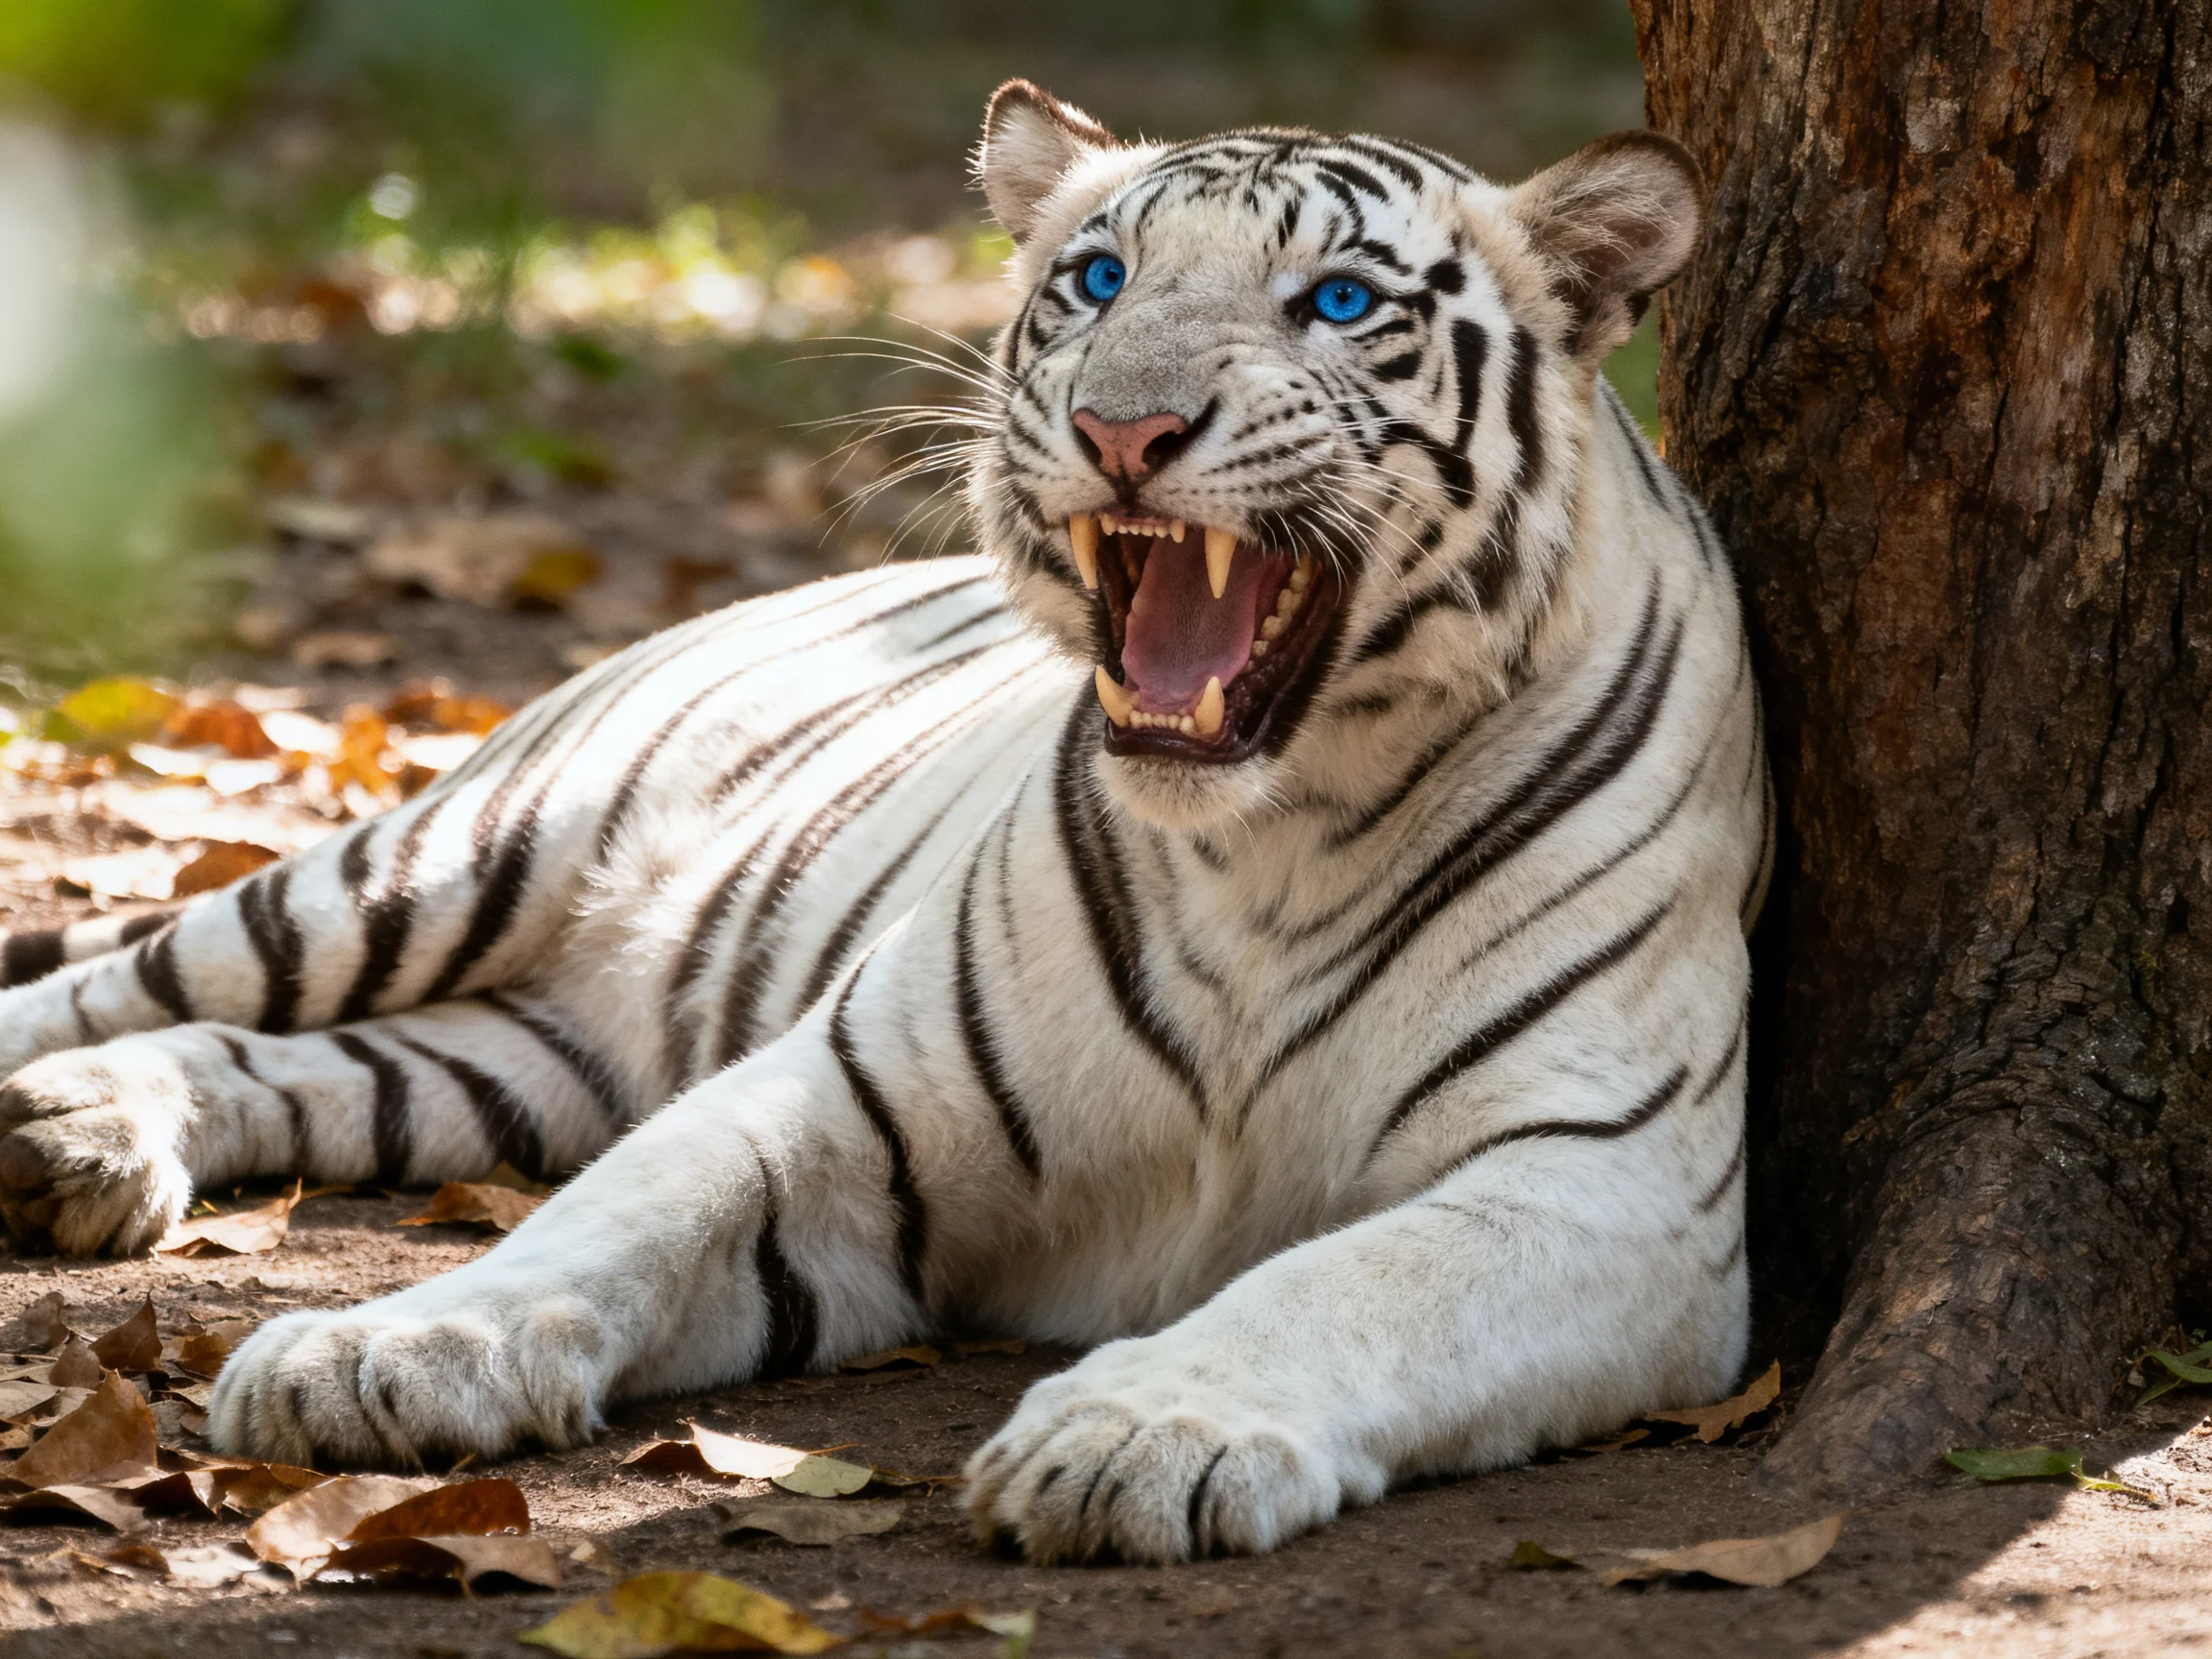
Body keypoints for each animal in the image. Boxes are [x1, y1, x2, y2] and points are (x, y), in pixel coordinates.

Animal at [0, 82, 1768, 1565]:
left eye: (1334, 302)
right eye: (1099, 279)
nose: (1124, 429)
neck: (1267, 841)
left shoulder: (1600, 1182)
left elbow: (1341, 1283)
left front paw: (1136, 1435)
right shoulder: (852, 1090)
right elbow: (611, 1221)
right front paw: (385, 1348)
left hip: (513, 1057)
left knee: (284, 1057)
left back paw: (78, 1135)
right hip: (429, 870)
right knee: (123, 981)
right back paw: (65, 1119)